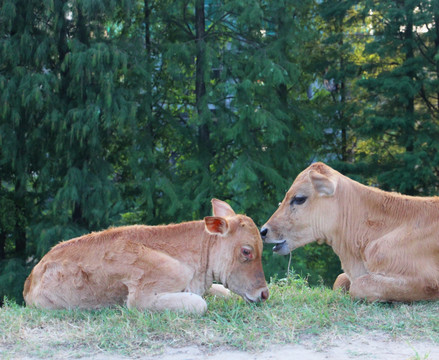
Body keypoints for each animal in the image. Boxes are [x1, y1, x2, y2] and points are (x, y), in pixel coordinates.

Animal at [25, 198, 270, 314]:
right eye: (246, 251)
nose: (264, 293)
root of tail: (32, 277)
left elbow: (224, 292)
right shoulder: (141, 297)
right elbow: (200, 304)